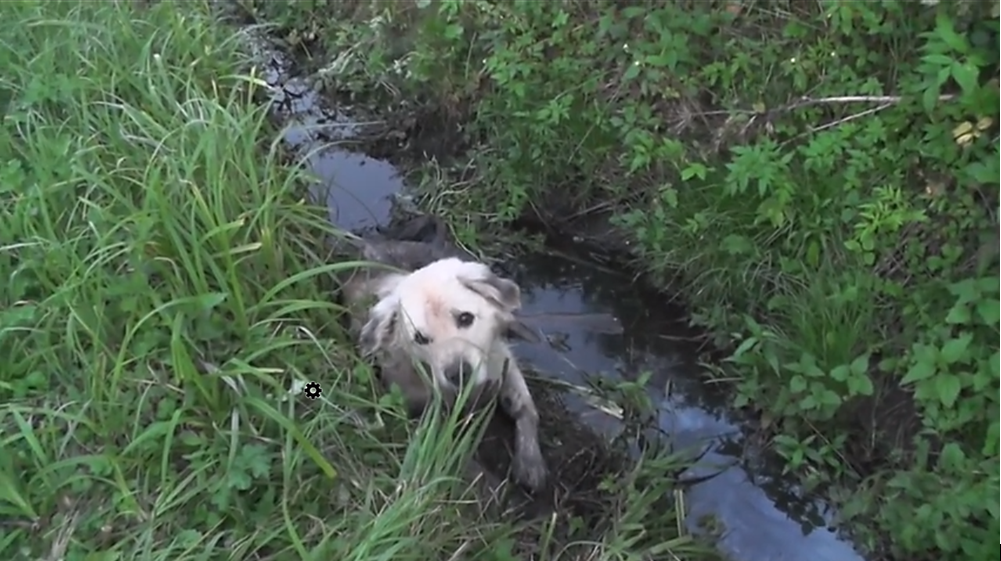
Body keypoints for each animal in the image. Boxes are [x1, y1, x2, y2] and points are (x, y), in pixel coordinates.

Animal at [342, 256, 548, 492]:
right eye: (420, 338)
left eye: (466, 318)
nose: (459, 374)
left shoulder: (502, 363)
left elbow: (526, 409)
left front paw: (530, 462)